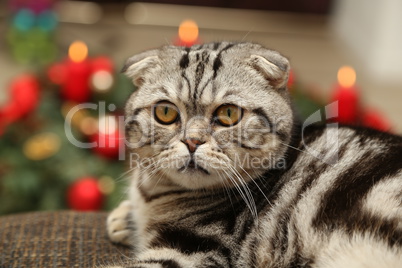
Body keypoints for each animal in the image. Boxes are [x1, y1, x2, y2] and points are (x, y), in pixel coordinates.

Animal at [104, 42, 402, 268]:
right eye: (165, 112)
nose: (192, 141)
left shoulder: (193, 250)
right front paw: (124, 218)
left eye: (228, 113)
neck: (153, 194)